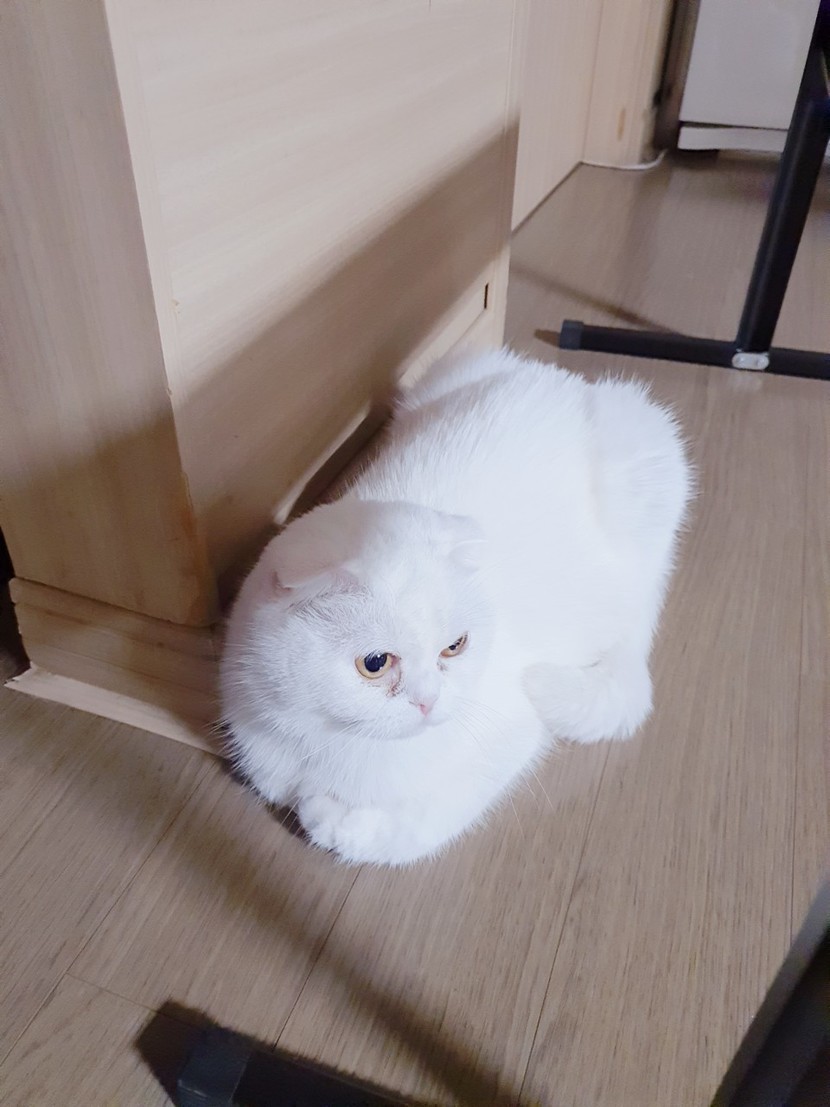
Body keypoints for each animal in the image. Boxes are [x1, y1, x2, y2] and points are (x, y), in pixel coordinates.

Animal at [220, 347, 692, 866]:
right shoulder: (256, 738)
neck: (326, 742)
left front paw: (331, 818)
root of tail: (564, 378)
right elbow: (274, 781)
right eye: (374, 663)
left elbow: (409, 826)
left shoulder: (507, 738)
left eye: (455, 646)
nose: (429, 700)